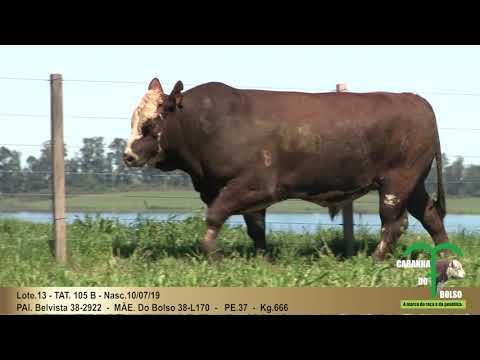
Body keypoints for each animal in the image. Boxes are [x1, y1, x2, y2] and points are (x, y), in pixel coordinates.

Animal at [123, 78, 446, 262]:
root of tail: (415, 99)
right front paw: (262, 260)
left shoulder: (254, 185)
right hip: (413, 183)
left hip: (397, 182)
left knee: (393, 223)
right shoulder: (244, 195)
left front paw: (212, 254)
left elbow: (215, 215)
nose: (127, 155)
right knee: (430, 216)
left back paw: (376, 259)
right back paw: (446, 260)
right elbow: (256, 229)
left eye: (150, 124)